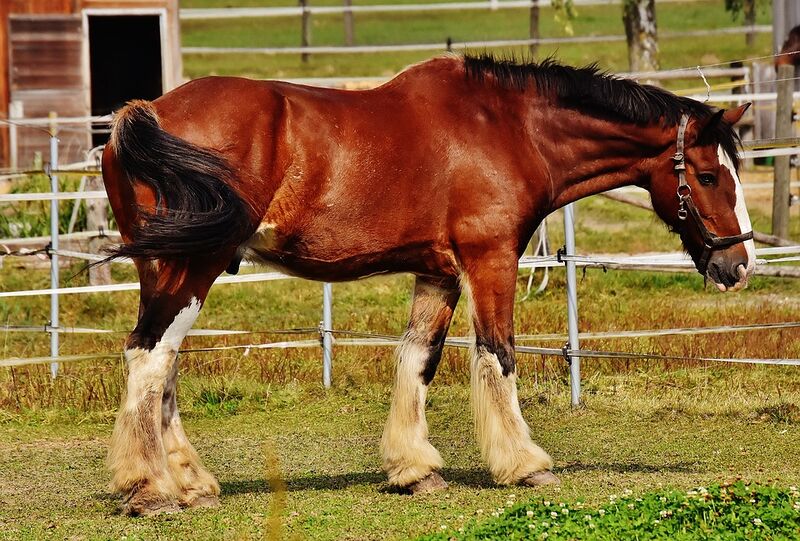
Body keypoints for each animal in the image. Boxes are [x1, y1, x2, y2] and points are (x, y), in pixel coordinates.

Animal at [101, 53, 755, 515]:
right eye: (707, 175)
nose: (740, 263)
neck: (509, 127)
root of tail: (144, 114)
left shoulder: (438, 273)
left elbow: (418, 359)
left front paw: (414, 469)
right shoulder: (490, 261)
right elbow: (498, 355)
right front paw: (525, 464)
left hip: (164, 267)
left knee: (161, 364)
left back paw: (190, 482)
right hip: (195, 265)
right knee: (150, 355)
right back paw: (151, 488)